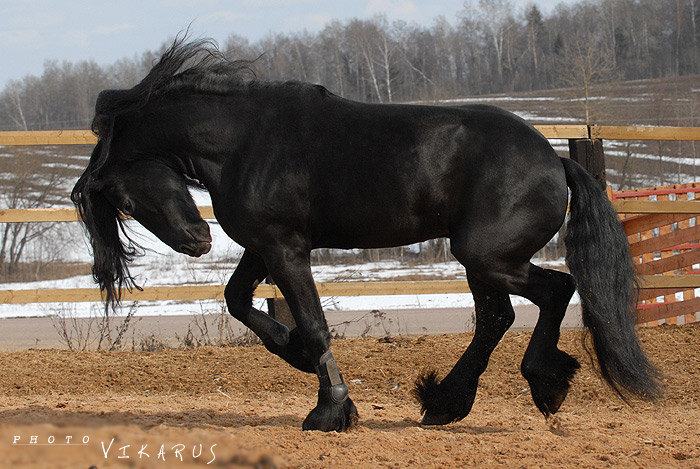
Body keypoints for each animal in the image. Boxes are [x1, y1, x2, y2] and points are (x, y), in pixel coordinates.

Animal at [72, 37, 660, 432]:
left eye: (123, 199)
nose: (196, 241)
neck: (245, 140)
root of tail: (554, 160)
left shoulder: (285, 246)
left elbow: (313, 324)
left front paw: (330, 409)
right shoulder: (266, 245)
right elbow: (238, 300)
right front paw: (297, 358)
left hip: (487, 257)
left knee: (554, 290)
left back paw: (540, 384)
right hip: (482, 262)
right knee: (498, 317)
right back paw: (446, 405)